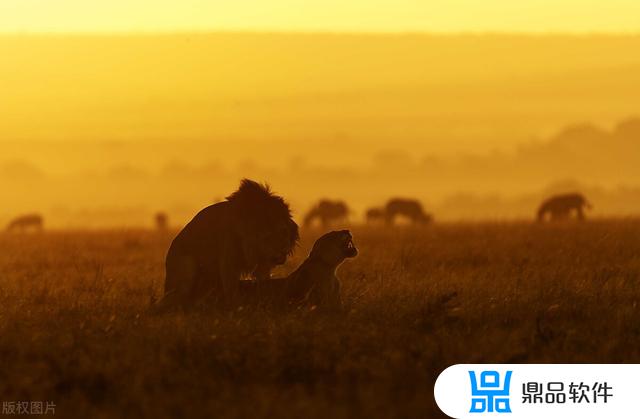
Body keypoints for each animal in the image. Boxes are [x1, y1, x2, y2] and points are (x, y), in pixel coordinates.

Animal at [159, 179, 302, 310]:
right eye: (268, 236)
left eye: (284, 232)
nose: (283, 251)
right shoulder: (228, 260)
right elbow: (231, 288)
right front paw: (236, 308)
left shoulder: (262, 264)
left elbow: (263, 282)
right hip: (186, 270)